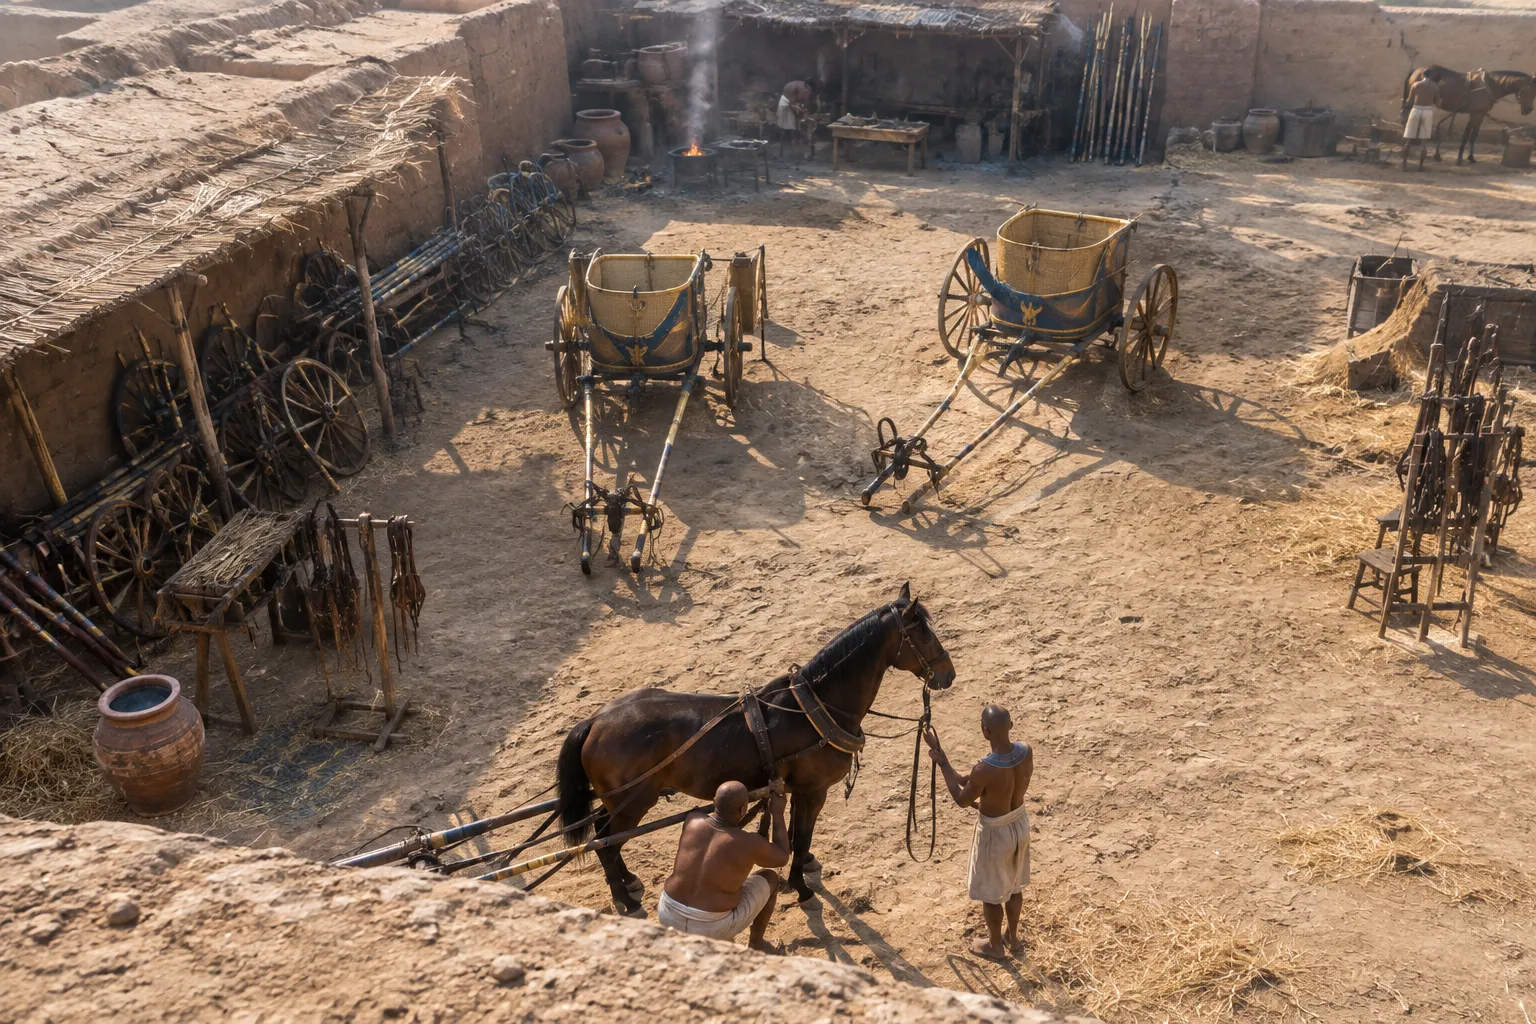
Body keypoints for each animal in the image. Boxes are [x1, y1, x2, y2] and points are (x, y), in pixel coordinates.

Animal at [555, 582, 956, 913]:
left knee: (606, 834)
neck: (815, 706)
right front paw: (800, 886)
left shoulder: (794, 790)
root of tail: (596, 720)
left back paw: (627, 881)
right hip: (634, 801)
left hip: (619, 802)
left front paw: (803, 866)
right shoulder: (813, 791)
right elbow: (801, 837)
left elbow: (795, 835)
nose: (948, 674)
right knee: (606, 843)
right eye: (922, 634)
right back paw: (624, 898)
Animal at [1402, 66, 1536, 165]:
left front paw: (1471, 157)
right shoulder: (1475, 114)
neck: (1490, 86)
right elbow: (1466, 135)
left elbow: (1473, 135)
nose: (1528, 110)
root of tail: (1416, 70)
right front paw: (1460, 158)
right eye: (1530, 91)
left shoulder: (1480, 114)